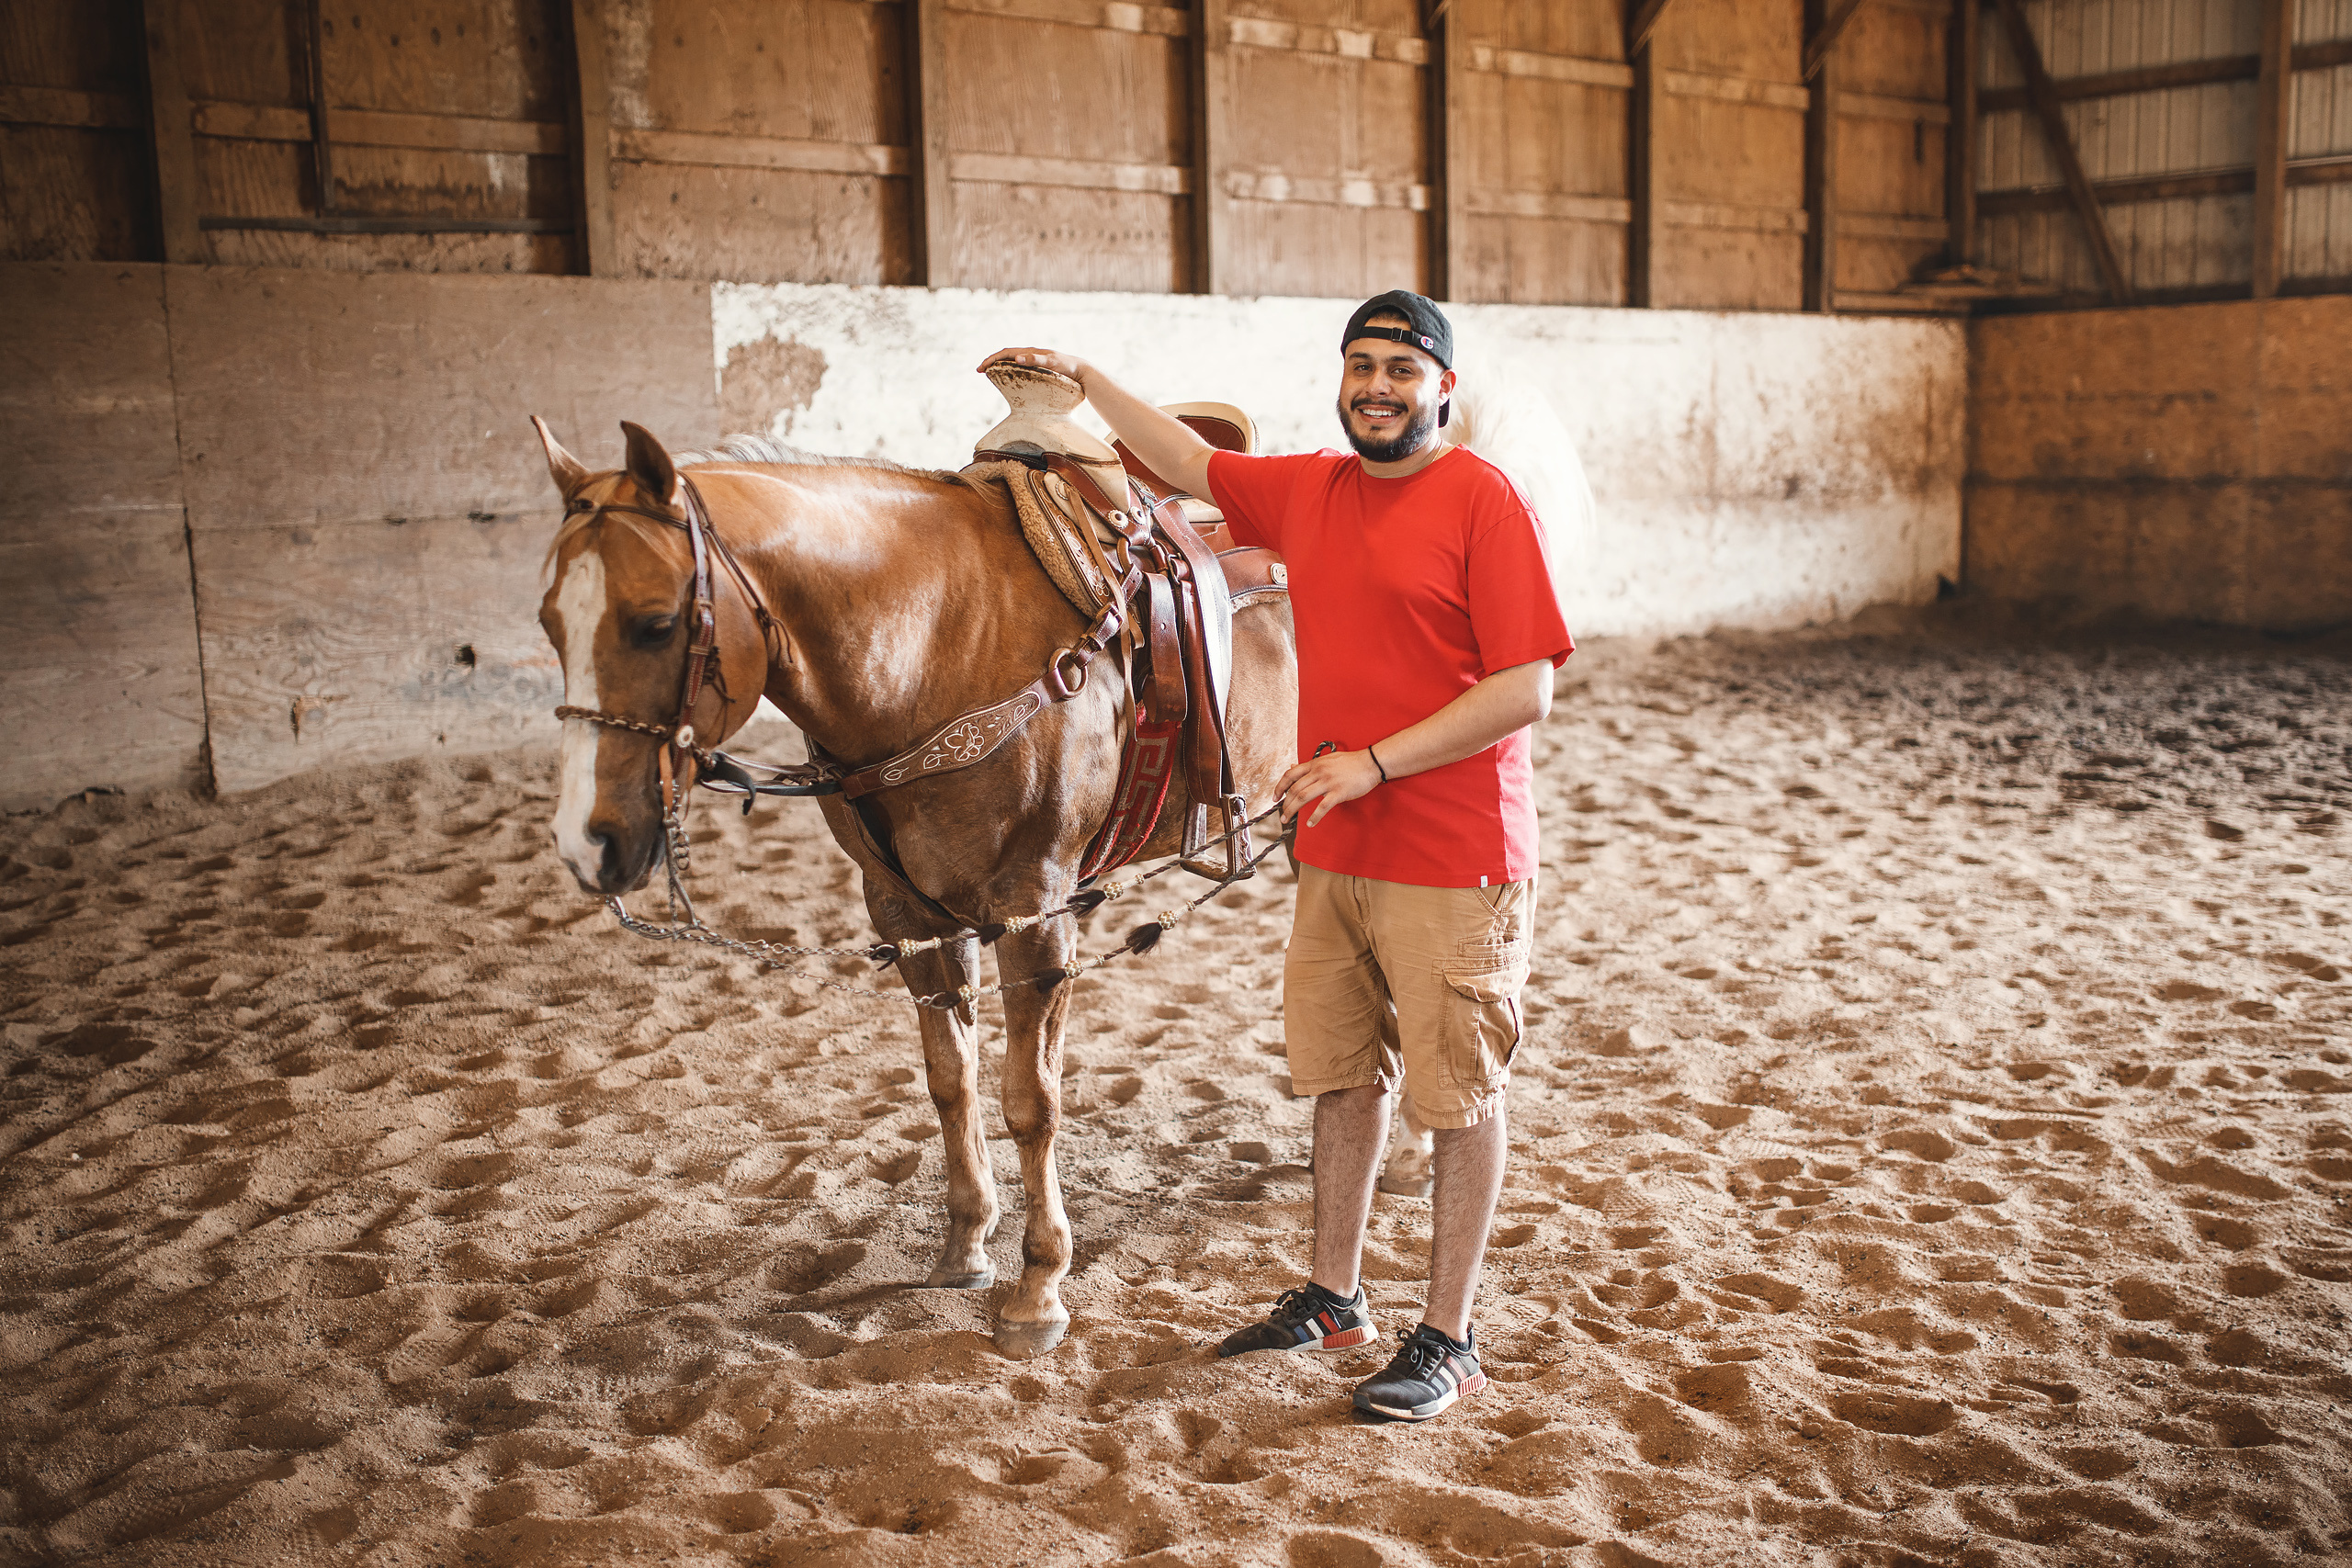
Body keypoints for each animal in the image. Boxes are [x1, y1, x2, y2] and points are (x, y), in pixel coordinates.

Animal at [532, 418, 1298, 1357]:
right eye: (549, 622)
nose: (586, 840)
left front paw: (1037, 1289)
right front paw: (966, 1246)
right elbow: (950, 1080)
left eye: (655, 623)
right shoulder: (908, 911)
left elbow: (1030, 1101)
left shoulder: (1036, 913)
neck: (940, 645)